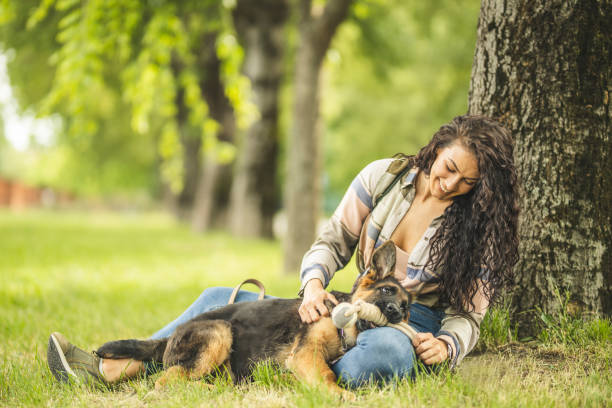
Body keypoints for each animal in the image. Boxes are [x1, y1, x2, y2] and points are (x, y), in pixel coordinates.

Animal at [97, 242, 412, 396]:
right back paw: (211, 391)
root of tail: (169, 337)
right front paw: (340, 396)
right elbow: (326, 374)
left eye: (406, 307)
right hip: (220, 331)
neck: (344, 326)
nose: (395, 312)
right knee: (166, 381)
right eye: (386, 290)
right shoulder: (306, 353)